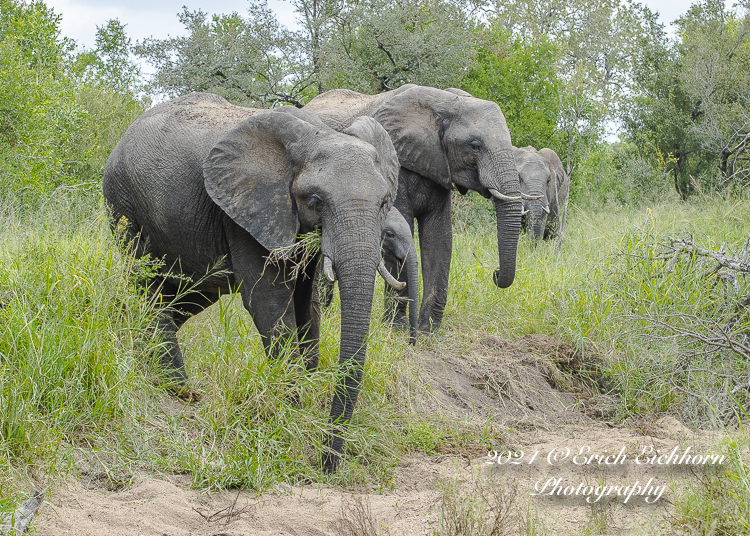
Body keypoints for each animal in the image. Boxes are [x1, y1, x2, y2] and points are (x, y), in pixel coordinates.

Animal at [103, 93, 406, 474]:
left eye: (384, 204)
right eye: (315, 201)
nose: (327, 465)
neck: (317, 133)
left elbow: (308, 306)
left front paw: (304, 397)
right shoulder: (246, 210)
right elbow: (269, 302)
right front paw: (290, 408)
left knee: (182, 298)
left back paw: (136, 357)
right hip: (124, 203)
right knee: (149, 287)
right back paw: (179, 390)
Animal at [306, 84, 536, 332]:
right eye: (474, 146)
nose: (495, 272)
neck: (444, 103)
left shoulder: (439, 166)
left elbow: (439, 238)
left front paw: (428, 329)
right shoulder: (397, 166)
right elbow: (401, 233)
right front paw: (396, 327)